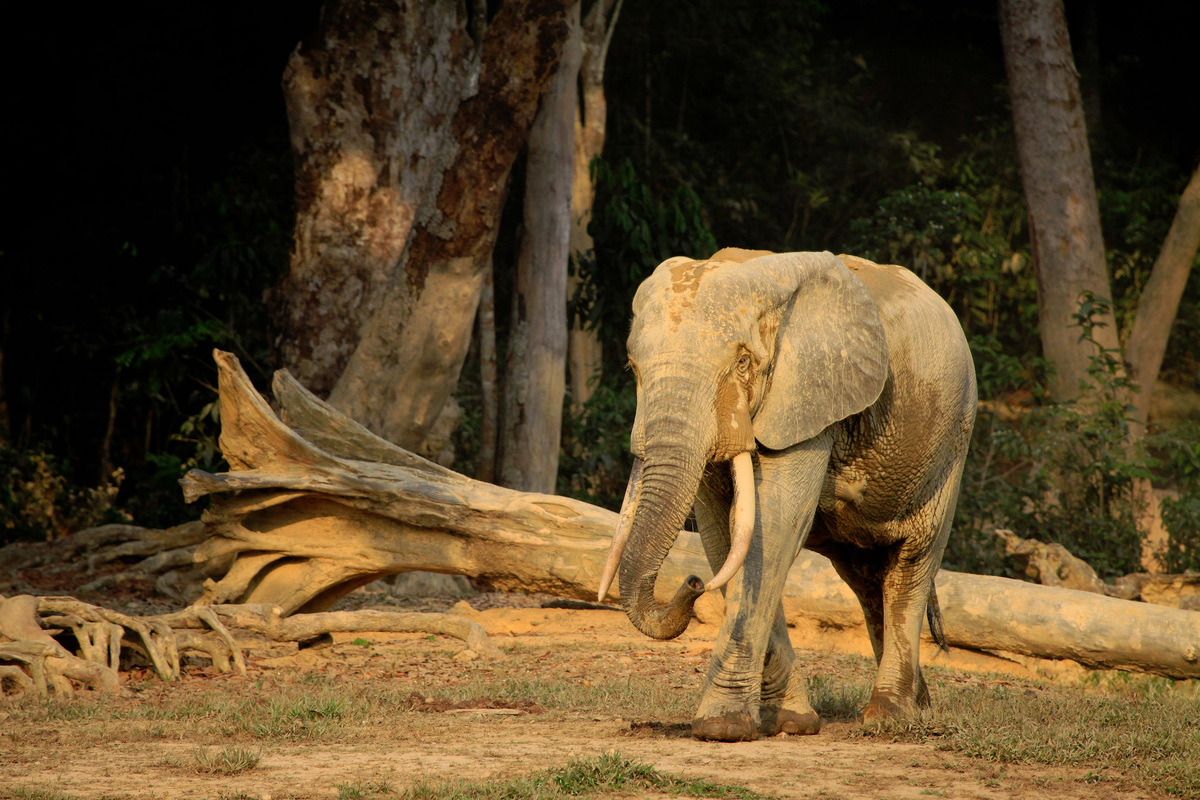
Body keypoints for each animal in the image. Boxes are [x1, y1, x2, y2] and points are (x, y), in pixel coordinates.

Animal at [595, 247, 979, 743]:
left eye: (743, 362)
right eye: (632, 368)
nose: (693, 584)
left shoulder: (807, 399)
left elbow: (772, 528)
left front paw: (721, 728)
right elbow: (725, 539)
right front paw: (792, 722)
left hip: (952, 442)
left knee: (911, 564)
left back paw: (889, 716)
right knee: (867, 580)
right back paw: (921, 708)